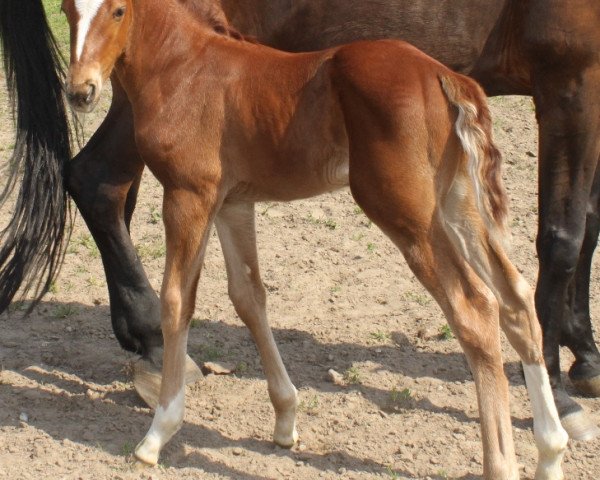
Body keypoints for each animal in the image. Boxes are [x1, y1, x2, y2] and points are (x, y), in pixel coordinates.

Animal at [1, 0, 600, 438]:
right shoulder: (224, 200)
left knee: (486, 303)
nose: (81, 89)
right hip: (445, 205)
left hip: (427, 209)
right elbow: (245, 298)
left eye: (118, 11)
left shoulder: (197, 195)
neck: (191, 65)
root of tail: (444, 78)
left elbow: (189, 300)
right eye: (67, 9)